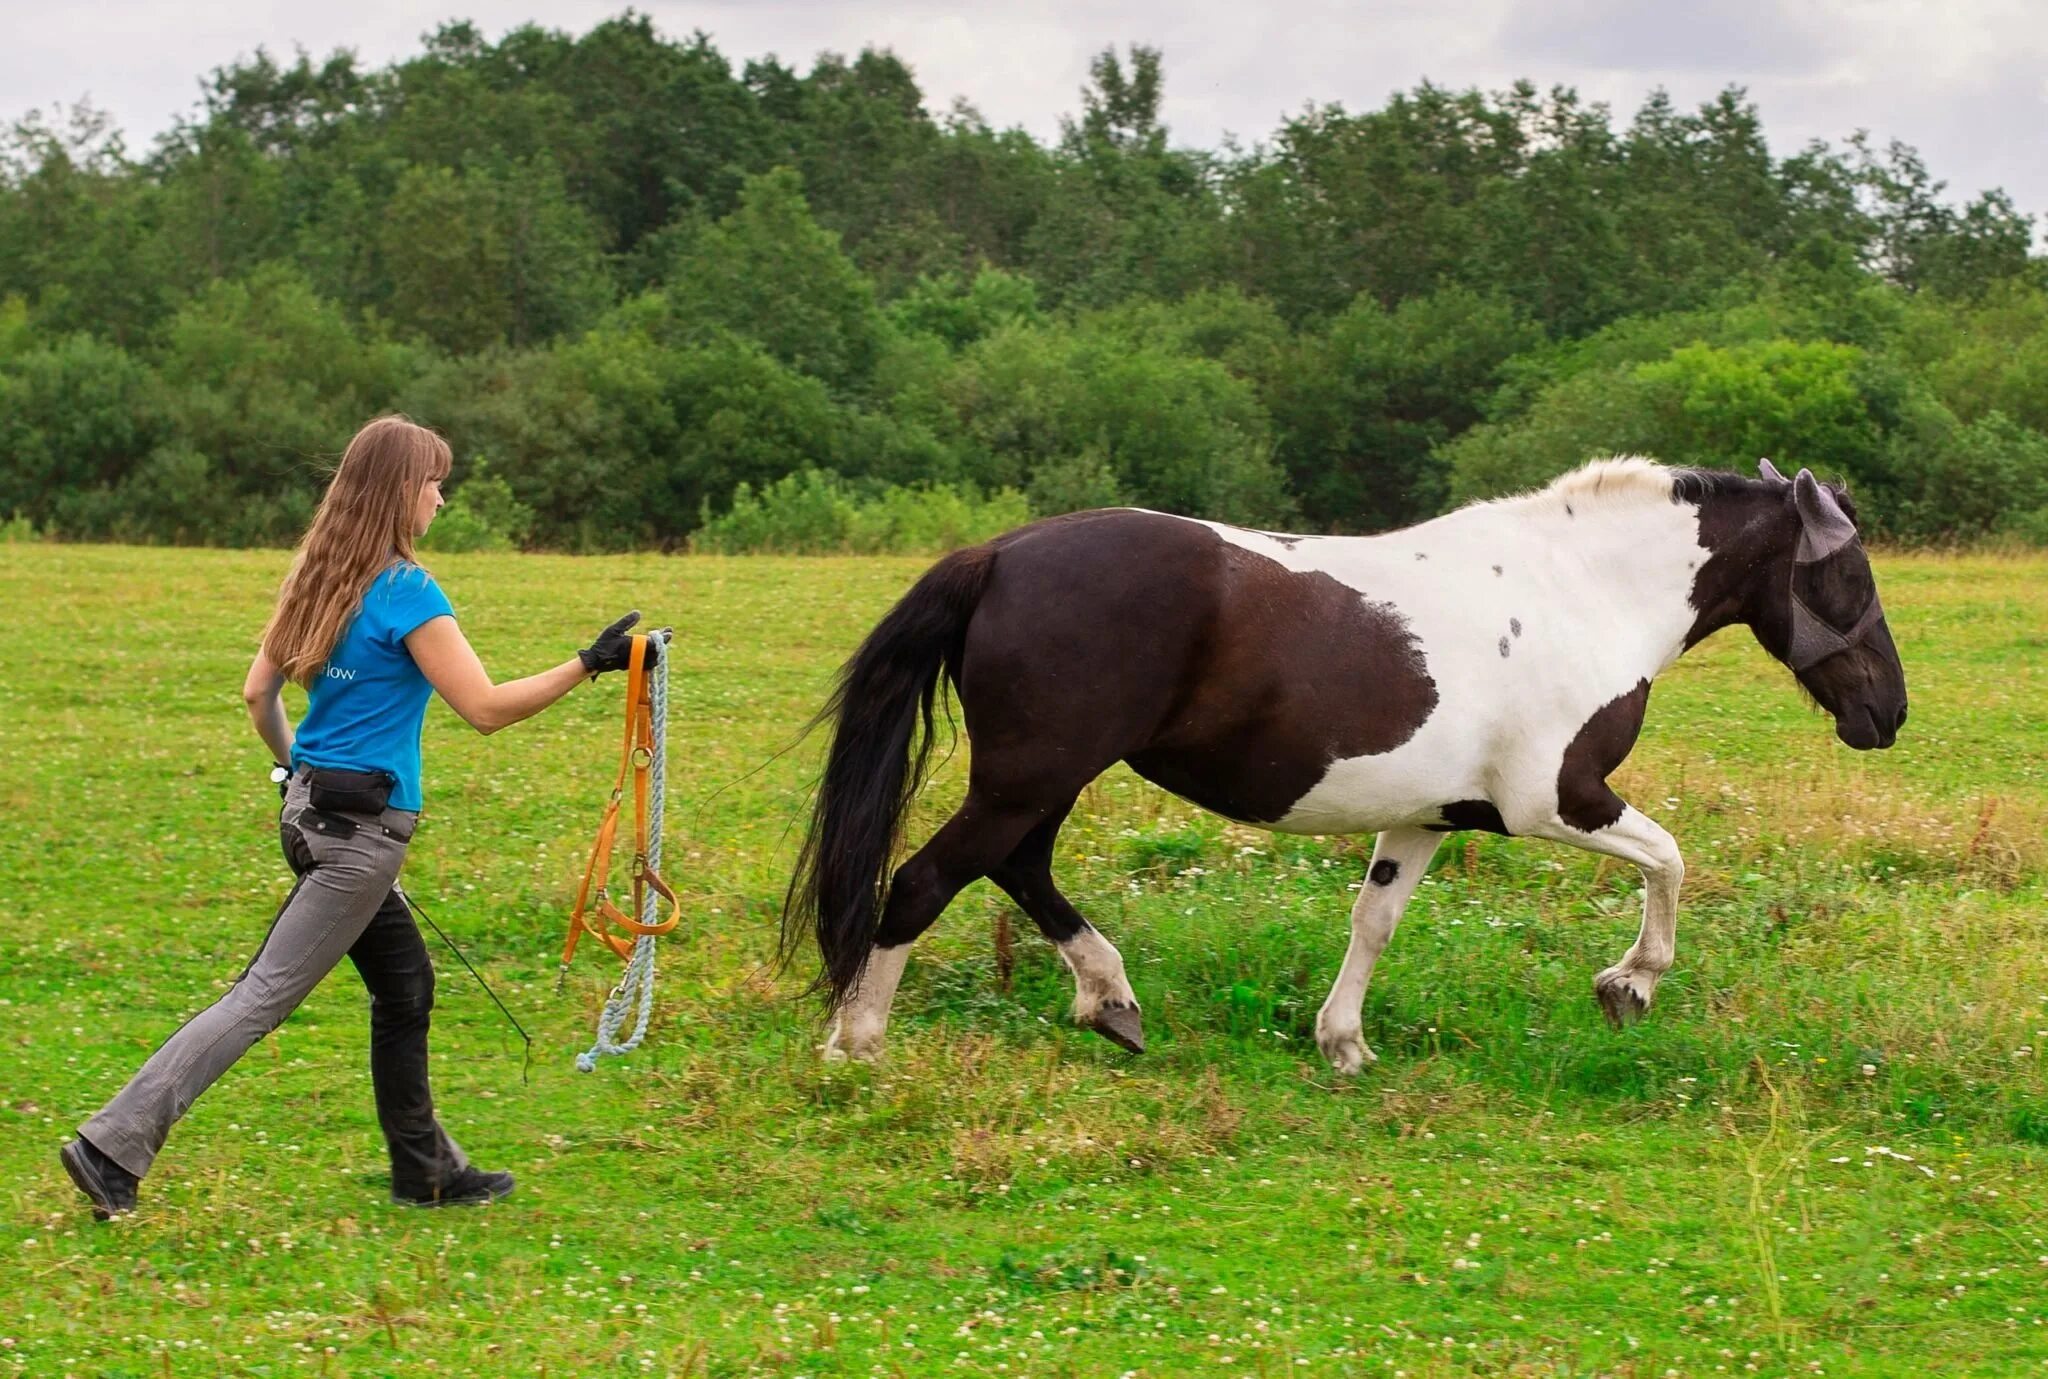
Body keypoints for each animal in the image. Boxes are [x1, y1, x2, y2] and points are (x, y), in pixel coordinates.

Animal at [782, 456, 1900, 1073]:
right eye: (1847, 571)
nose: (1886, 712)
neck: (1577, 593)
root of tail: (1000, 554)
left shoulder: (1427, 816)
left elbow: (1374, 920)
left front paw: (1343, 1042)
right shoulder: (1557, 800)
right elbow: (1669, 858)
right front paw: (1628, 984)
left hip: (1040, 782)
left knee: (1018, 870)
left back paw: (1111, 1002)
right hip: (1029, 777)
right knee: (924, 879)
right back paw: (857, 1043)